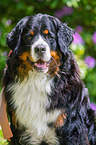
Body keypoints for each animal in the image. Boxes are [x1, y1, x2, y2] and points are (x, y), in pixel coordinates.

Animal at [0, 13, 96, 144]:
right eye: (29, 37)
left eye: (49, 36)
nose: (40, 48)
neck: (37, 81)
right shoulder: (18, 129)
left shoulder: (73, 128)